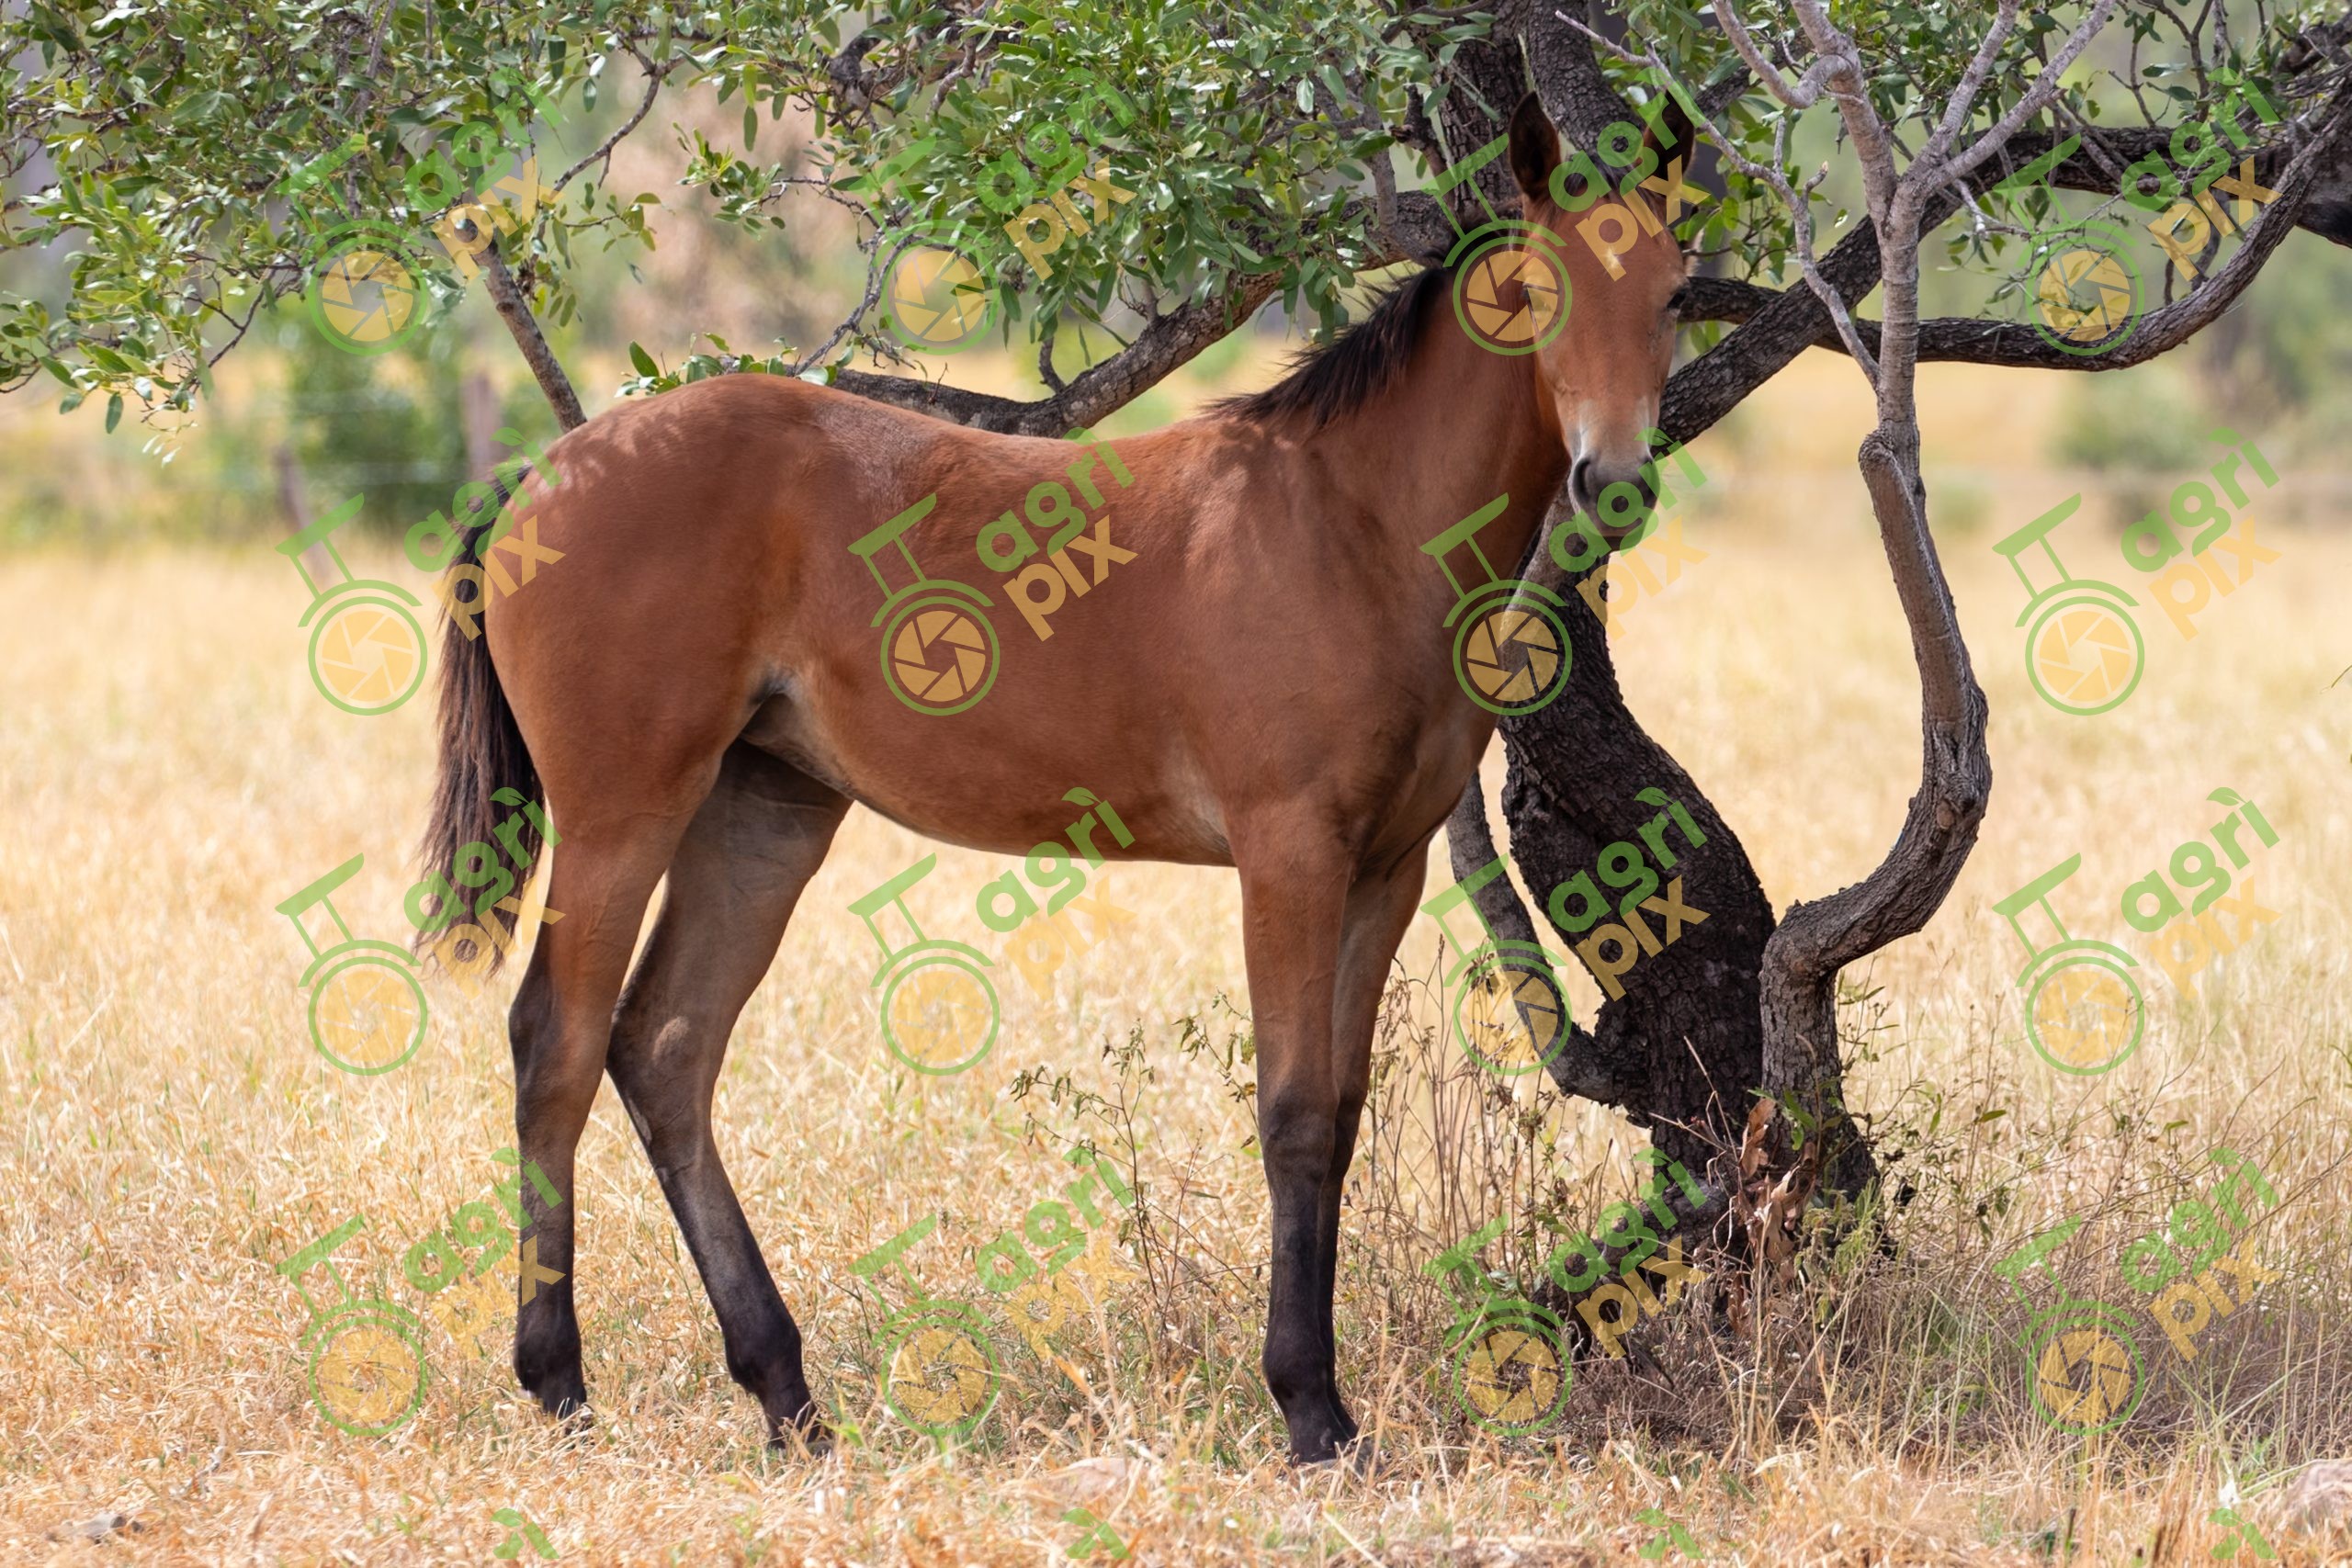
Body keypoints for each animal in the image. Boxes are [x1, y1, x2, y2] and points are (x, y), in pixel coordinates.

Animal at [419, 92, 1691, 1464]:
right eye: (1536, 290)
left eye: (1676, 291)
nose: (1613, 482)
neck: (1352, 521)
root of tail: (545, 470)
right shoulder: (1289, 853)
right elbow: (1293, 1113)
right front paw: (1308, 1406)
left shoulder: (1387, 869)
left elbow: (1341, 1117)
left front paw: (1331, 1408)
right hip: (625, 811)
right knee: (556, 1042)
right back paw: (560, 1381)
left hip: (763, 813)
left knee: (664, 1047)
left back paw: (787, 1394)